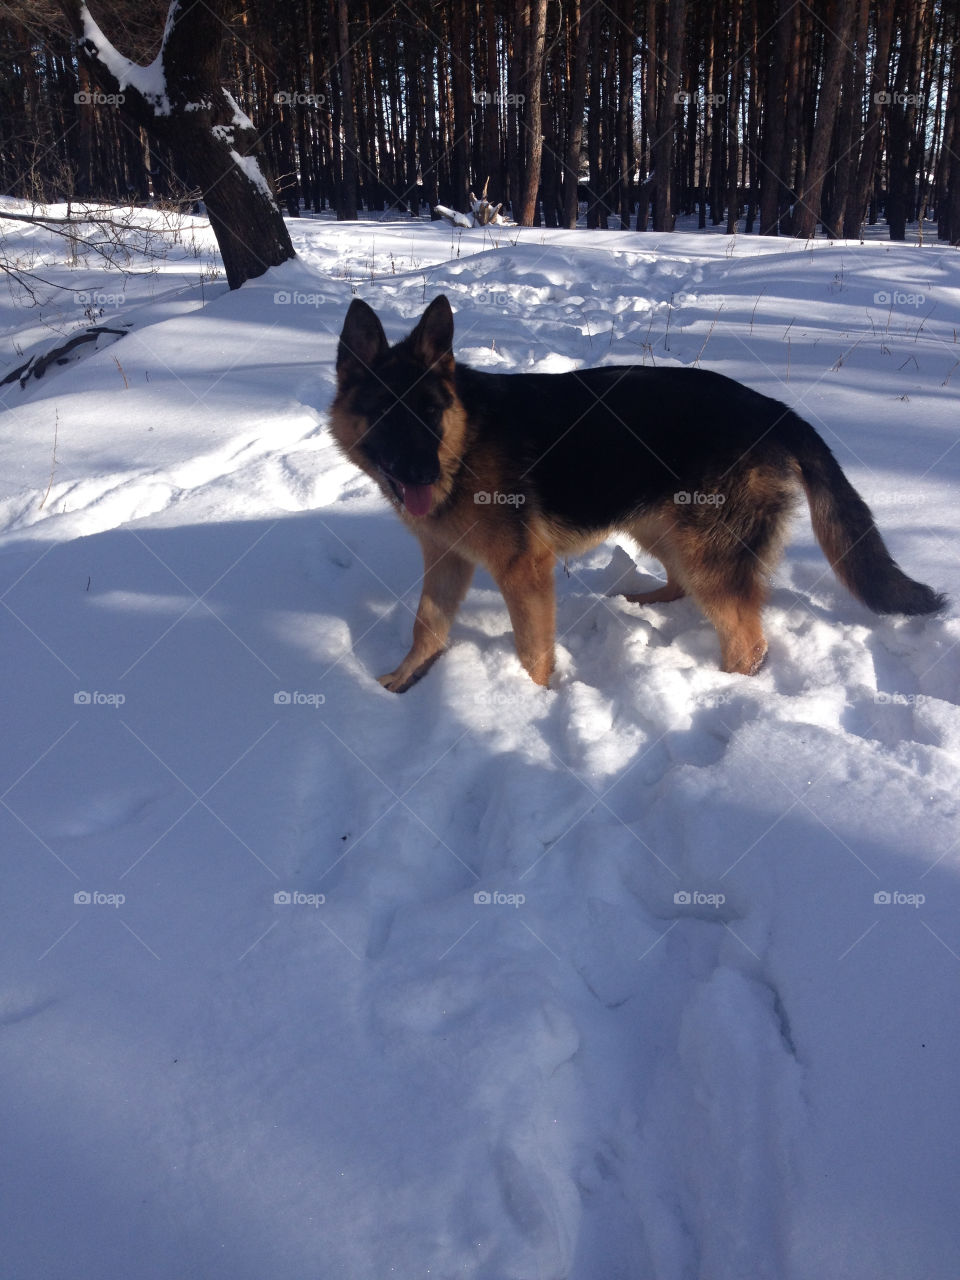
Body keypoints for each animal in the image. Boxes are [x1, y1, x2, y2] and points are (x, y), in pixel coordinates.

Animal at [330, 295, 947, 696]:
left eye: (431, 412)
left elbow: (532, 650)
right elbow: (426, 625)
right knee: (682, 587)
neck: (465, 440)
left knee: (747, 643)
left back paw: (723, 692)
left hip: (704, 550)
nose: (423, 474)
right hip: (660, 527)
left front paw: (533, 703)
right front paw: (403, 679)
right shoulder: (447, 559)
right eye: (385, 415)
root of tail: (776, 410)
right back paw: (641, 600)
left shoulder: (523, 572)